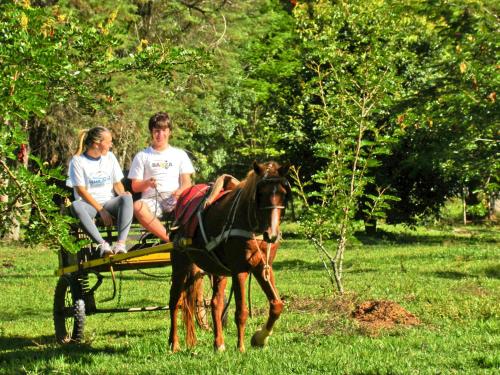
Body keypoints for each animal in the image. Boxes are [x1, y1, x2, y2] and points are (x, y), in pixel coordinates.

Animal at [170, 161, 292, 352]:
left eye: (283, 193)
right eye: (260, 193)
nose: (271, 234)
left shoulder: (263, 267)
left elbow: (277, 305)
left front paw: (260, 338)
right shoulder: (239, 270)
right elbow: (241, 311)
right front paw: (241, 347)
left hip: (217, 269)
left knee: (215, 302)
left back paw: (218, 343)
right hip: (180, 264)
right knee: (175, 301)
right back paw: (174, 344)